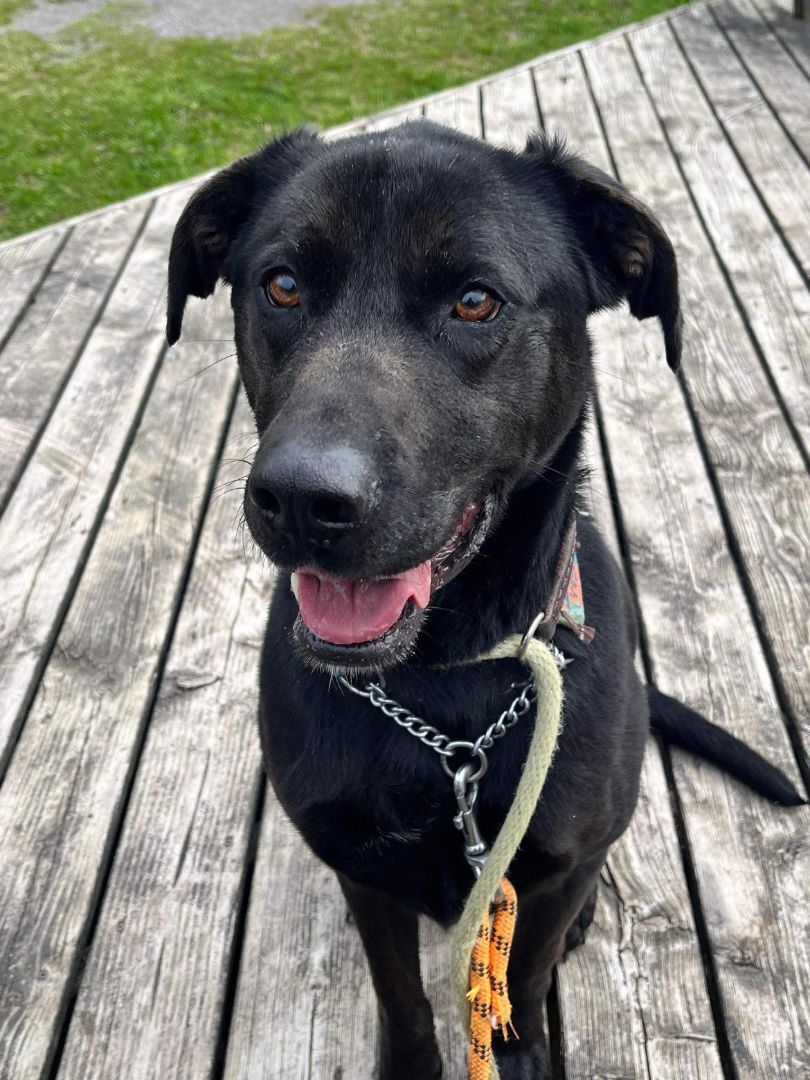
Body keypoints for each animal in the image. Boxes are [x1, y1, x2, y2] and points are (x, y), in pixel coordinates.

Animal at [166, 122, 807, 1075]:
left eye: (475, 301)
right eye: (282, 285)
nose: (304, 501)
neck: (444, 689)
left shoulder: (553, 868)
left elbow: (526, 981)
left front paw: (520, 1051)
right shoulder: (365, 873)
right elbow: (399, 997)